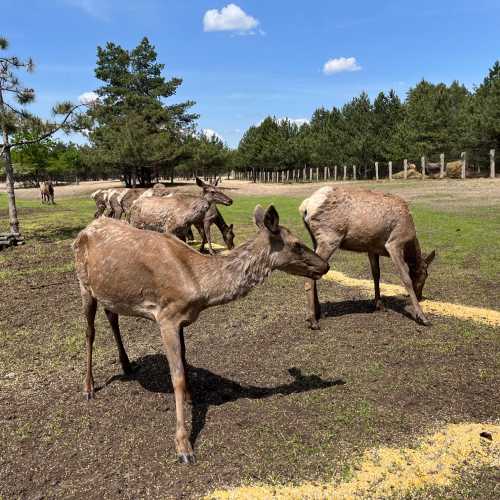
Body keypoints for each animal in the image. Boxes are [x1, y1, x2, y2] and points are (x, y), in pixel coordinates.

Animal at [70, 205, 328, 462]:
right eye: (296, 244)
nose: (325, 266)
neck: (201, 287)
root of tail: (85, 229)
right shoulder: (166, 317)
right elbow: (177, 377)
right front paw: (183, 445)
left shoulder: (181, 320)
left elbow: (185, 363)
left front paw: (190, 398)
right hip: (83, 283)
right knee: (90, 332)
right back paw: (88, 387)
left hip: (110, 293)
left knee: (111, 316)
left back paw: (126, 365)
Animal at [298, 186, 436, 330]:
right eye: (424, 275)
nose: (420, 296)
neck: (409, 242)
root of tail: (305, 206)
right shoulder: (394, 243)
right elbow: (406, 278)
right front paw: (422, 317)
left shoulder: (372, 248)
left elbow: (376, 274)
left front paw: (379, 305)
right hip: (329, 238)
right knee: (310, 276)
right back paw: (312, 320)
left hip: (316, 240)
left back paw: (318, 312)